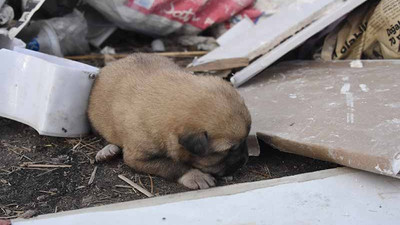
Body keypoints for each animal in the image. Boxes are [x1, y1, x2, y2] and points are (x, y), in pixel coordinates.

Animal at [88, 53, 250, 189]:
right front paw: (195, 176)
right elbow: (171, 166)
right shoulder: (138, 158)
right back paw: (107, 150)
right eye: (230, 150)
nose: (244, 160)